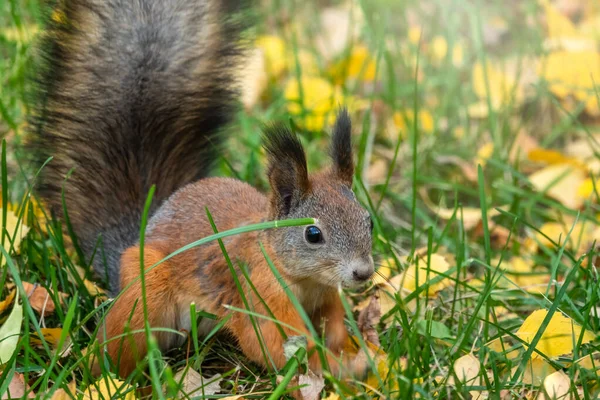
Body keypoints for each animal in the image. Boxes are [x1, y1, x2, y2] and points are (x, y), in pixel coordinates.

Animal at [30, 0, 376, 378]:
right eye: (313, 234)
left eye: (369, 221)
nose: (363, 273)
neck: (305, 279)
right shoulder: (259, 297)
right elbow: (272, 345)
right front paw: (346, 368)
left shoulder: (326, 296)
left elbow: (334, 326)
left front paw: (356, 349)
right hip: (145, 295)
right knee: (118, 343)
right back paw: (108, 376)